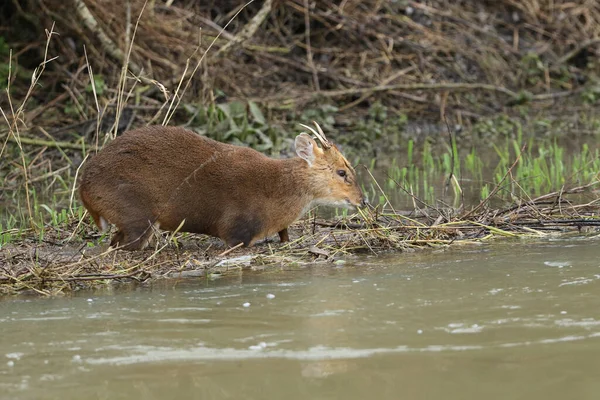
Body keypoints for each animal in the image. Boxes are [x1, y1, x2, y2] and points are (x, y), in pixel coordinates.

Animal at [79, 122, 366, 250]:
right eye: (342, 172)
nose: (363, 200)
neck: (277, 190)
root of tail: (84, 190)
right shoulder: (235, 230)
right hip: (136, 215)